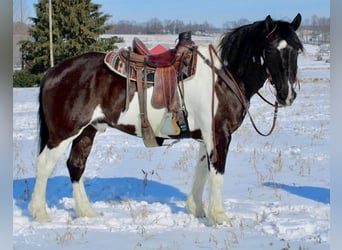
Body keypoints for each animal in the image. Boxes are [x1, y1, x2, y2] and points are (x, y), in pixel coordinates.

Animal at [28, 14, 302, 225]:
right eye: (270, 49)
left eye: (297, 49)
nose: (287, 94)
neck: (223, 75)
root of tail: (53, 71)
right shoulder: (219, 134)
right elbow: (217, 172)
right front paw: (219, 217)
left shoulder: (206, 136)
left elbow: (202, 169)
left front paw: (196, 209)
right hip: (65, 132)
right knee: (44, 165)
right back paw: (40, 213)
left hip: (87, 131)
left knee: (76, 165)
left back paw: (87, 212)